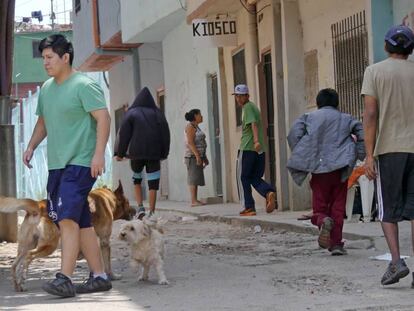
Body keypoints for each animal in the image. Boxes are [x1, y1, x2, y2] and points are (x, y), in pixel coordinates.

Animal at [0, 180, 134, 292]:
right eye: (128, 202)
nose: (136, 210)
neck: (109, 199)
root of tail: (39, 205)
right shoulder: (104, 241)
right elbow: (107, 263)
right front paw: (112, 276)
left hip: (26, 245)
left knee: (14, 264)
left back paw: (18, 285)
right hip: (49, 245)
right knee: (29, 256)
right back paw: (23, 278)